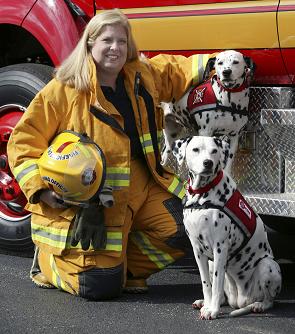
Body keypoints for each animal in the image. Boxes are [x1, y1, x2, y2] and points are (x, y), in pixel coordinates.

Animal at [173, 135, 282, 318]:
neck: (202, 196)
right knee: (223, 296)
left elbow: (217, 283)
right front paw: (208, 305)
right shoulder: (198, 250)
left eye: (214, 151)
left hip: (268, 265)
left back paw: (259, 305)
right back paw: (205, 302)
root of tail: (239, 301)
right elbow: (207, 284)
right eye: (195, 149)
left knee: (270, 300)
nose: (208, 163)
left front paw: (213, 310)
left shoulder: (220, 248)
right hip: (212, 263)